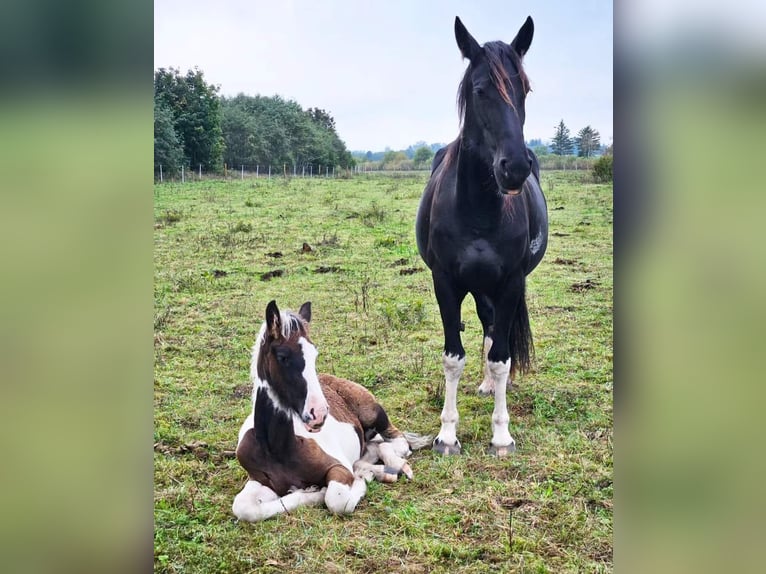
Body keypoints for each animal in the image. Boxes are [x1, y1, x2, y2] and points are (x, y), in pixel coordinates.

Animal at [232, 302, 416, 520]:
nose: (318, 413)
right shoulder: (259, 481)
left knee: (396, 442)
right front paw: (311, 489)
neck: (276, 448)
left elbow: (336, 499)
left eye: (314, 355)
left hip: (372, 413)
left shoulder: (337, 467)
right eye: (283, 357)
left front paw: (350, 483)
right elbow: (244, 508)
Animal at [416, 15, 548, 456]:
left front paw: (502, 435)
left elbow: (502, 358)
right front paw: (447, 435)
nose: (514, 167)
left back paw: (491, 387)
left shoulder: (510, 281)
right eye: (479, 90)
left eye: (524, 89)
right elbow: (452, 357)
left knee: (494, 332)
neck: (478, 211)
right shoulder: (446, 282)